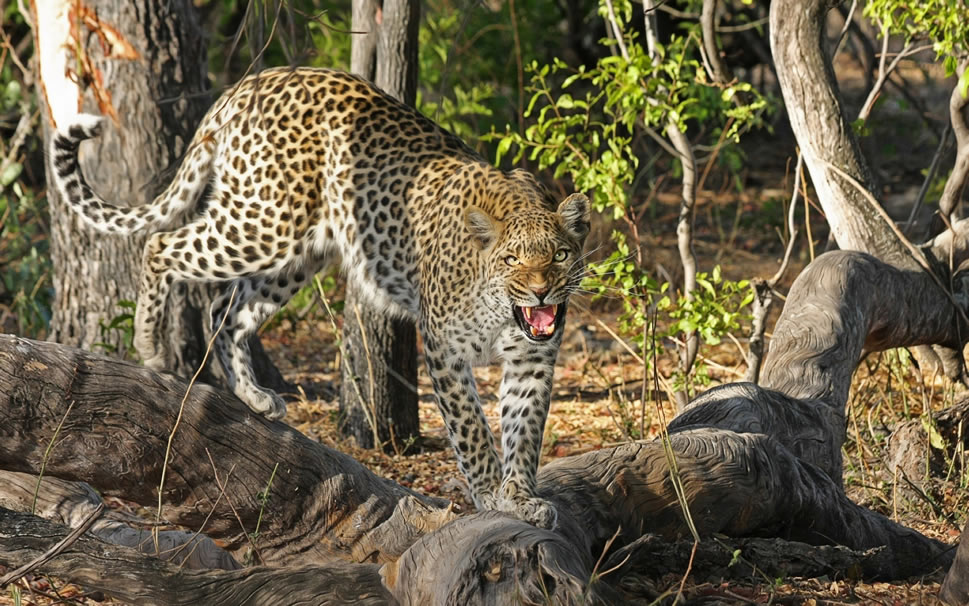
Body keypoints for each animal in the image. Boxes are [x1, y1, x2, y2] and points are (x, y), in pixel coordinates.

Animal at [51, 67, 588, 532]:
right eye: (512, 259)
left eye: (560, 255)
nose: (541, 290)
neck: (503, 310)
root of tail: (249, 83)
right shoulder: (444, 350)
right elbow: (473, 430)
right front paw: (491, 495)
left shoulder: (533, 360)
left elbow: (525, 432)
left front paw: (520, 497)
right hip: (263, 224)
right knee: (161, 245)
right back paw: (151, 345)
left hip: (296, 255)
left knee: (225, 310)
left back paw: (253, 395)